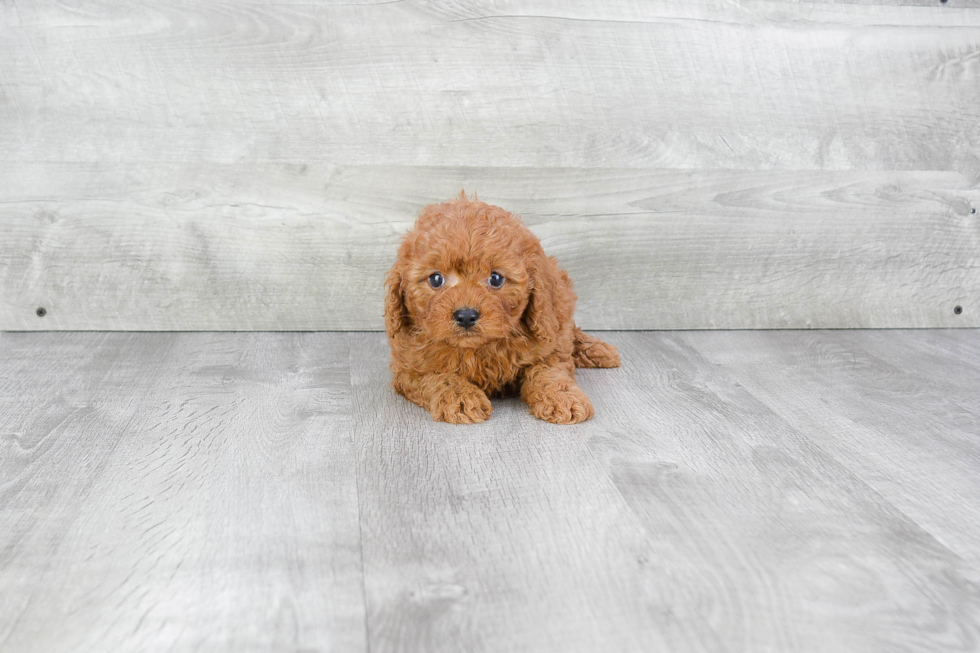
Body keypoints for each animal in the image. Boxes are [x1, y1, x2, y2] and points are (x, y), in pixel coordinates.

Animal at [382, 191, 620, 422]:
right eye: (435, 279)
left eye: (495, 279)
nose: (466, 315)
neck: (478, 349)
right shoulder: (410, 370)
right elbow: (440, 377)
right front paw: (461, 399)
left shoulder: (548, 349)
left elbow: (549, 372)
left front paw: (562, 398)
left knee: (570, 333)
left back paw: (599, 350)